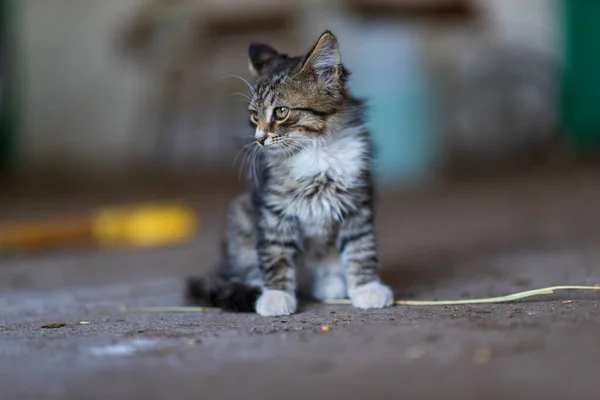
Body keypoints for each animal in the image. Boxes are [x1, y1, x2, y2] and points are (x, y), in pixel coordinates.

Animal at [188, 31, 394, 318]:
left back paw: (331, 284)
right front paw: (276, 297)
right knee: (243, 268)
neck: (316, 151)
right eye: (254, 116)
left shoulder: (356, 204)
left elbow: (361, 249)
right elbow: (275, 255)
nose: (259, 139)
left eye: (281, 112)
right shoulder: (273, 209)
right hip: (240, 216)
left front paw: (367, 289)